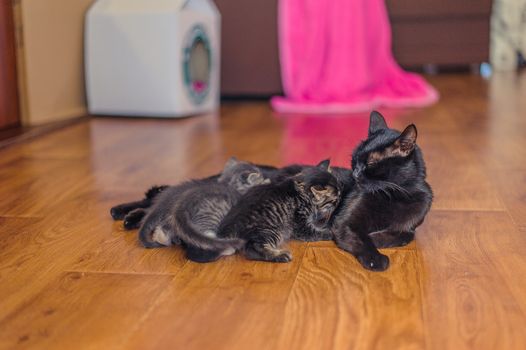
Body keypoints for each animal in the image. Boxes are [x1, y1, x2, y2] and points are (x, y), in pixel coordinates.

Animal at [138, 157, 270, 256]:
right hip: (211, 216)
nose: (264, 177)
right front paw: (266, 182)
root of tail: (181, 205)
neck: (228, 184)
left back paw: (160, 237)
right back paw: (226, 248)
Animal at [190, 160, 342, 264]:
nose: (340, 199)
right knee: (253, 249)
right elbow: (315, 231)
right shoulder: (301, 225)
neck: (301, 190)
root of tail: (227, 229)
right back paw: (280, 256)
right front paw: (331, 231)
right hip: (270, 230)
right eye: (335, 199)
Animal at [334, 111, 434, 270]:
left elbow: (405, 236)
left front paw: (375, 237)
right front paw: (376, 259)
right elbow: (362, 239)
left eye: (370, 163)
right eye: (354, 160)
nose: (355, 174)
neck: (395, 195)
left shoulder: (409, 227)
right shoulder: (345, 223)